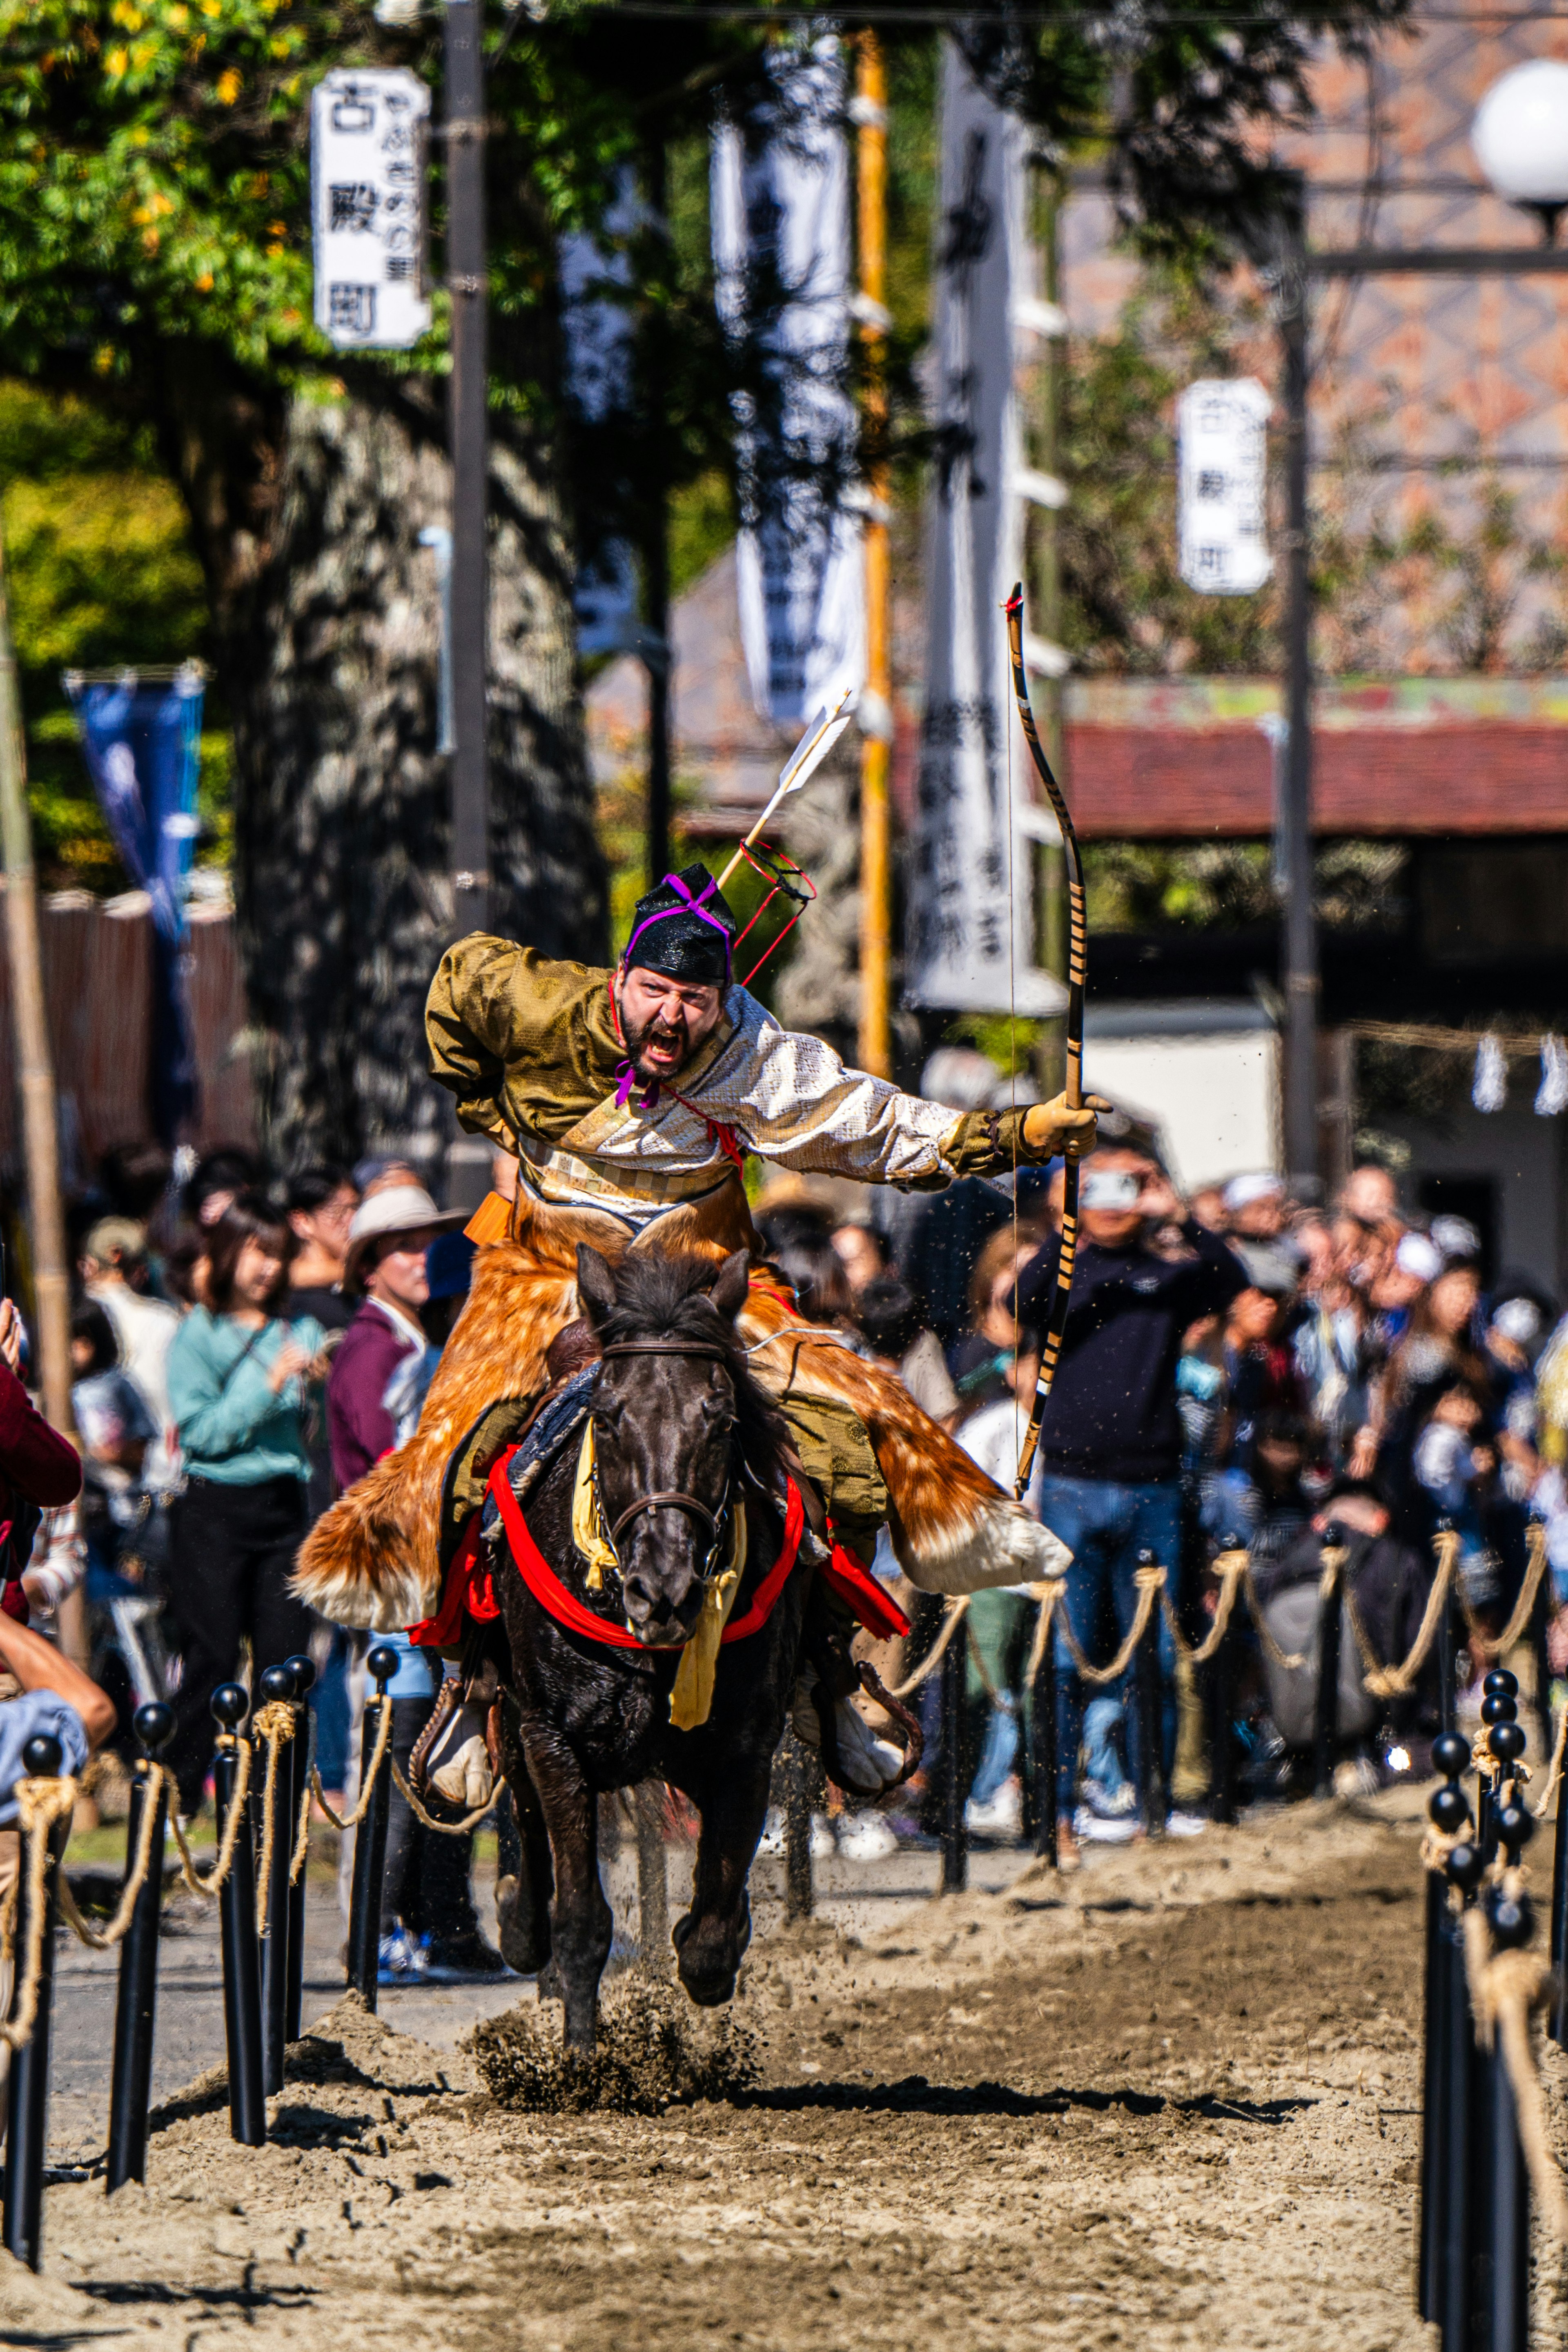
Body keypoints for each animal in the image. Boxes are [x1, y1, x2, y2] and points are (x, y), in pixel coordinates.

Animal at [474, 1242, 822, 2051]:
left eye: (720, 1420)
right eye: (608, 1417)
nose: (663, 1591)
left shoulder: (745, 1746)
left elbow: (713, 1936)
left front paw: (708, 1945)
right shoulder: (552, 1737)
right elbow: (580, 1922)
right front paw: (581, 2057)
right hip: (514, 1716)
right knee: (528, 1837)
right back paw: (516, 1921)